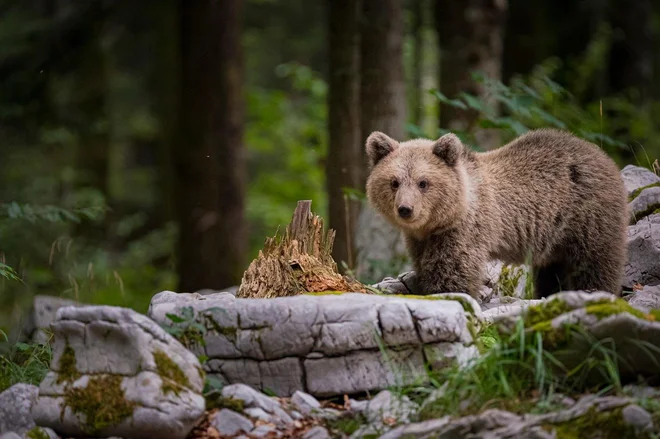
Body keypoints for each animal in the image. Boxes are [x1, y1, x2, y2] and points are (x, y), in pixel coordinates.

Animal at [366, 127, 628, 300]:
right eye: (394, 182)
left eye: (423, 182)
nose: (405, 209)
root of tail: (602, 155)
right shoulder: (420, 239)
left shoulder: (464, 231)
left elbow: (452, 273)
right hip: (556, 241)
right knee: (551, 272)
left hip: (588, 216)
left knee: (594, 262)